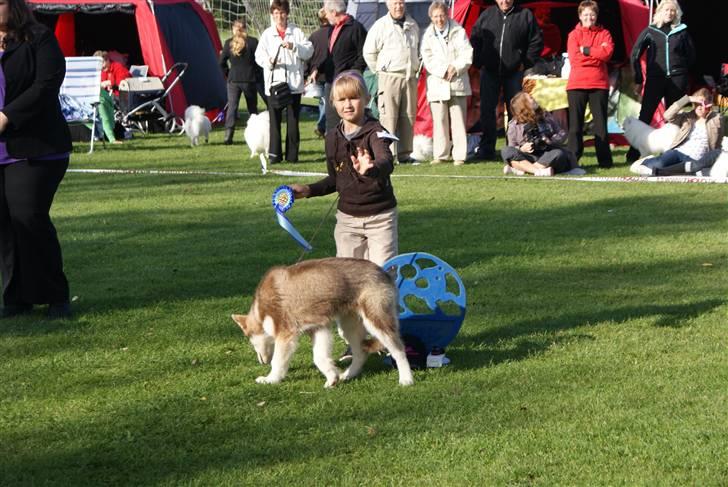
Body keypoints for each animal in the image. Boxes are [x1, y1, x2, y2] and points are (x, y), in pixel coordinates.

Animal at [233, 260, 416, 388]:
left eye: (250, 341)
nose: (261, 362)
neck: (261, 309)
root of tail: (385, 273)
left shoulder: (286, 334)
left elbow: (278, 361)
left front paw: (270, 379)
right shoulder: (319, 328)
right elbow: (319, 357)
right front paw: (332, 377)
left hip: (376, 322)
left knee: (398, 350)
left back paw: (406, 379)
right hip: (349, 327)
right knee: (360, 353)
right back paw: (347, 374)